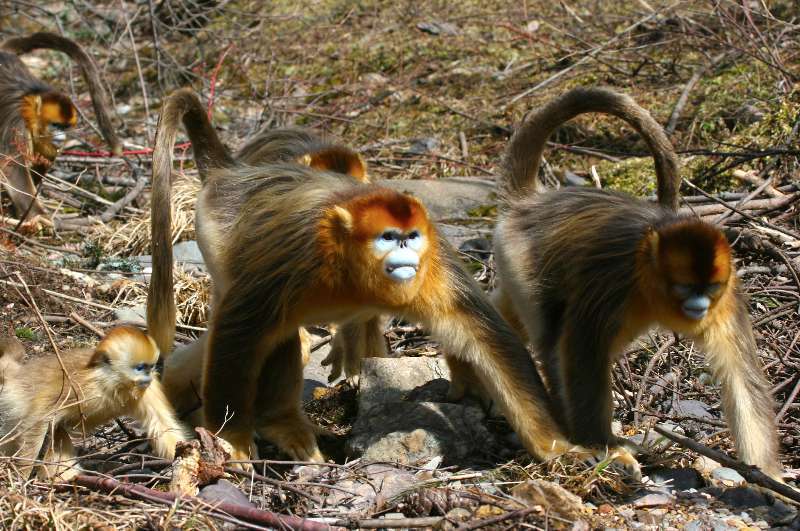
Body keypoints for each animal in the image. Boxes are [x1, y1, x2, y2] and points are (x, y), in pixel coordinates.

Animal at [0, 31, 122, 222]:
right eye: (55, 125)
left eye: (65, 127)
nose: (61, 136)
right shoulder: (17, 124)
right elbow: (12, 166)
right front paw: (39, 215)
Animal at [0, 326, 190, 480]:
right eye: (140, 368)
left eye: (150, 368)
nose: (148, 377)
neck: (114, 383)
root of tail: (17, 374)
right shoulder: (81, 385)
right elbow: (39, 417)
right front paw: (24, 472)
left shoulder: (149, 389)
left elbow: (163, 424)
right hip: (15, 402)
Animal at [147, 88, 640, 474]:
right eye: (388, 238)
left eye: (411, 237)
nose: (403, 255)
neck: (353, 276)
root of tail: (229, 171)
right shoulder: (293, 259)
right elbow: (238, 330)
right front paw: (229, 442)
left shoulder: (434, 265)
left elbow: (490, 341)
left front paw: (561, 449)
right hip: (216, 234)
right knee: (267, 331)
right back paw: (276, 423)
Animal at [490, 88, 784, 482]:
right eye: (684, 287)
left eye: (709, 289)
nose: (699, 307)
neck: (649, 279)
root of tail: (530, 202)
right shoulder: (614, 282)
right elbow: (582, 352)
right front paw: (604, 448)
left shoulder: (728, 299)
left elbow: (743, 380)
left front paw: (770, 481)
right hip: (521, 257)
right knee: (554, 339)